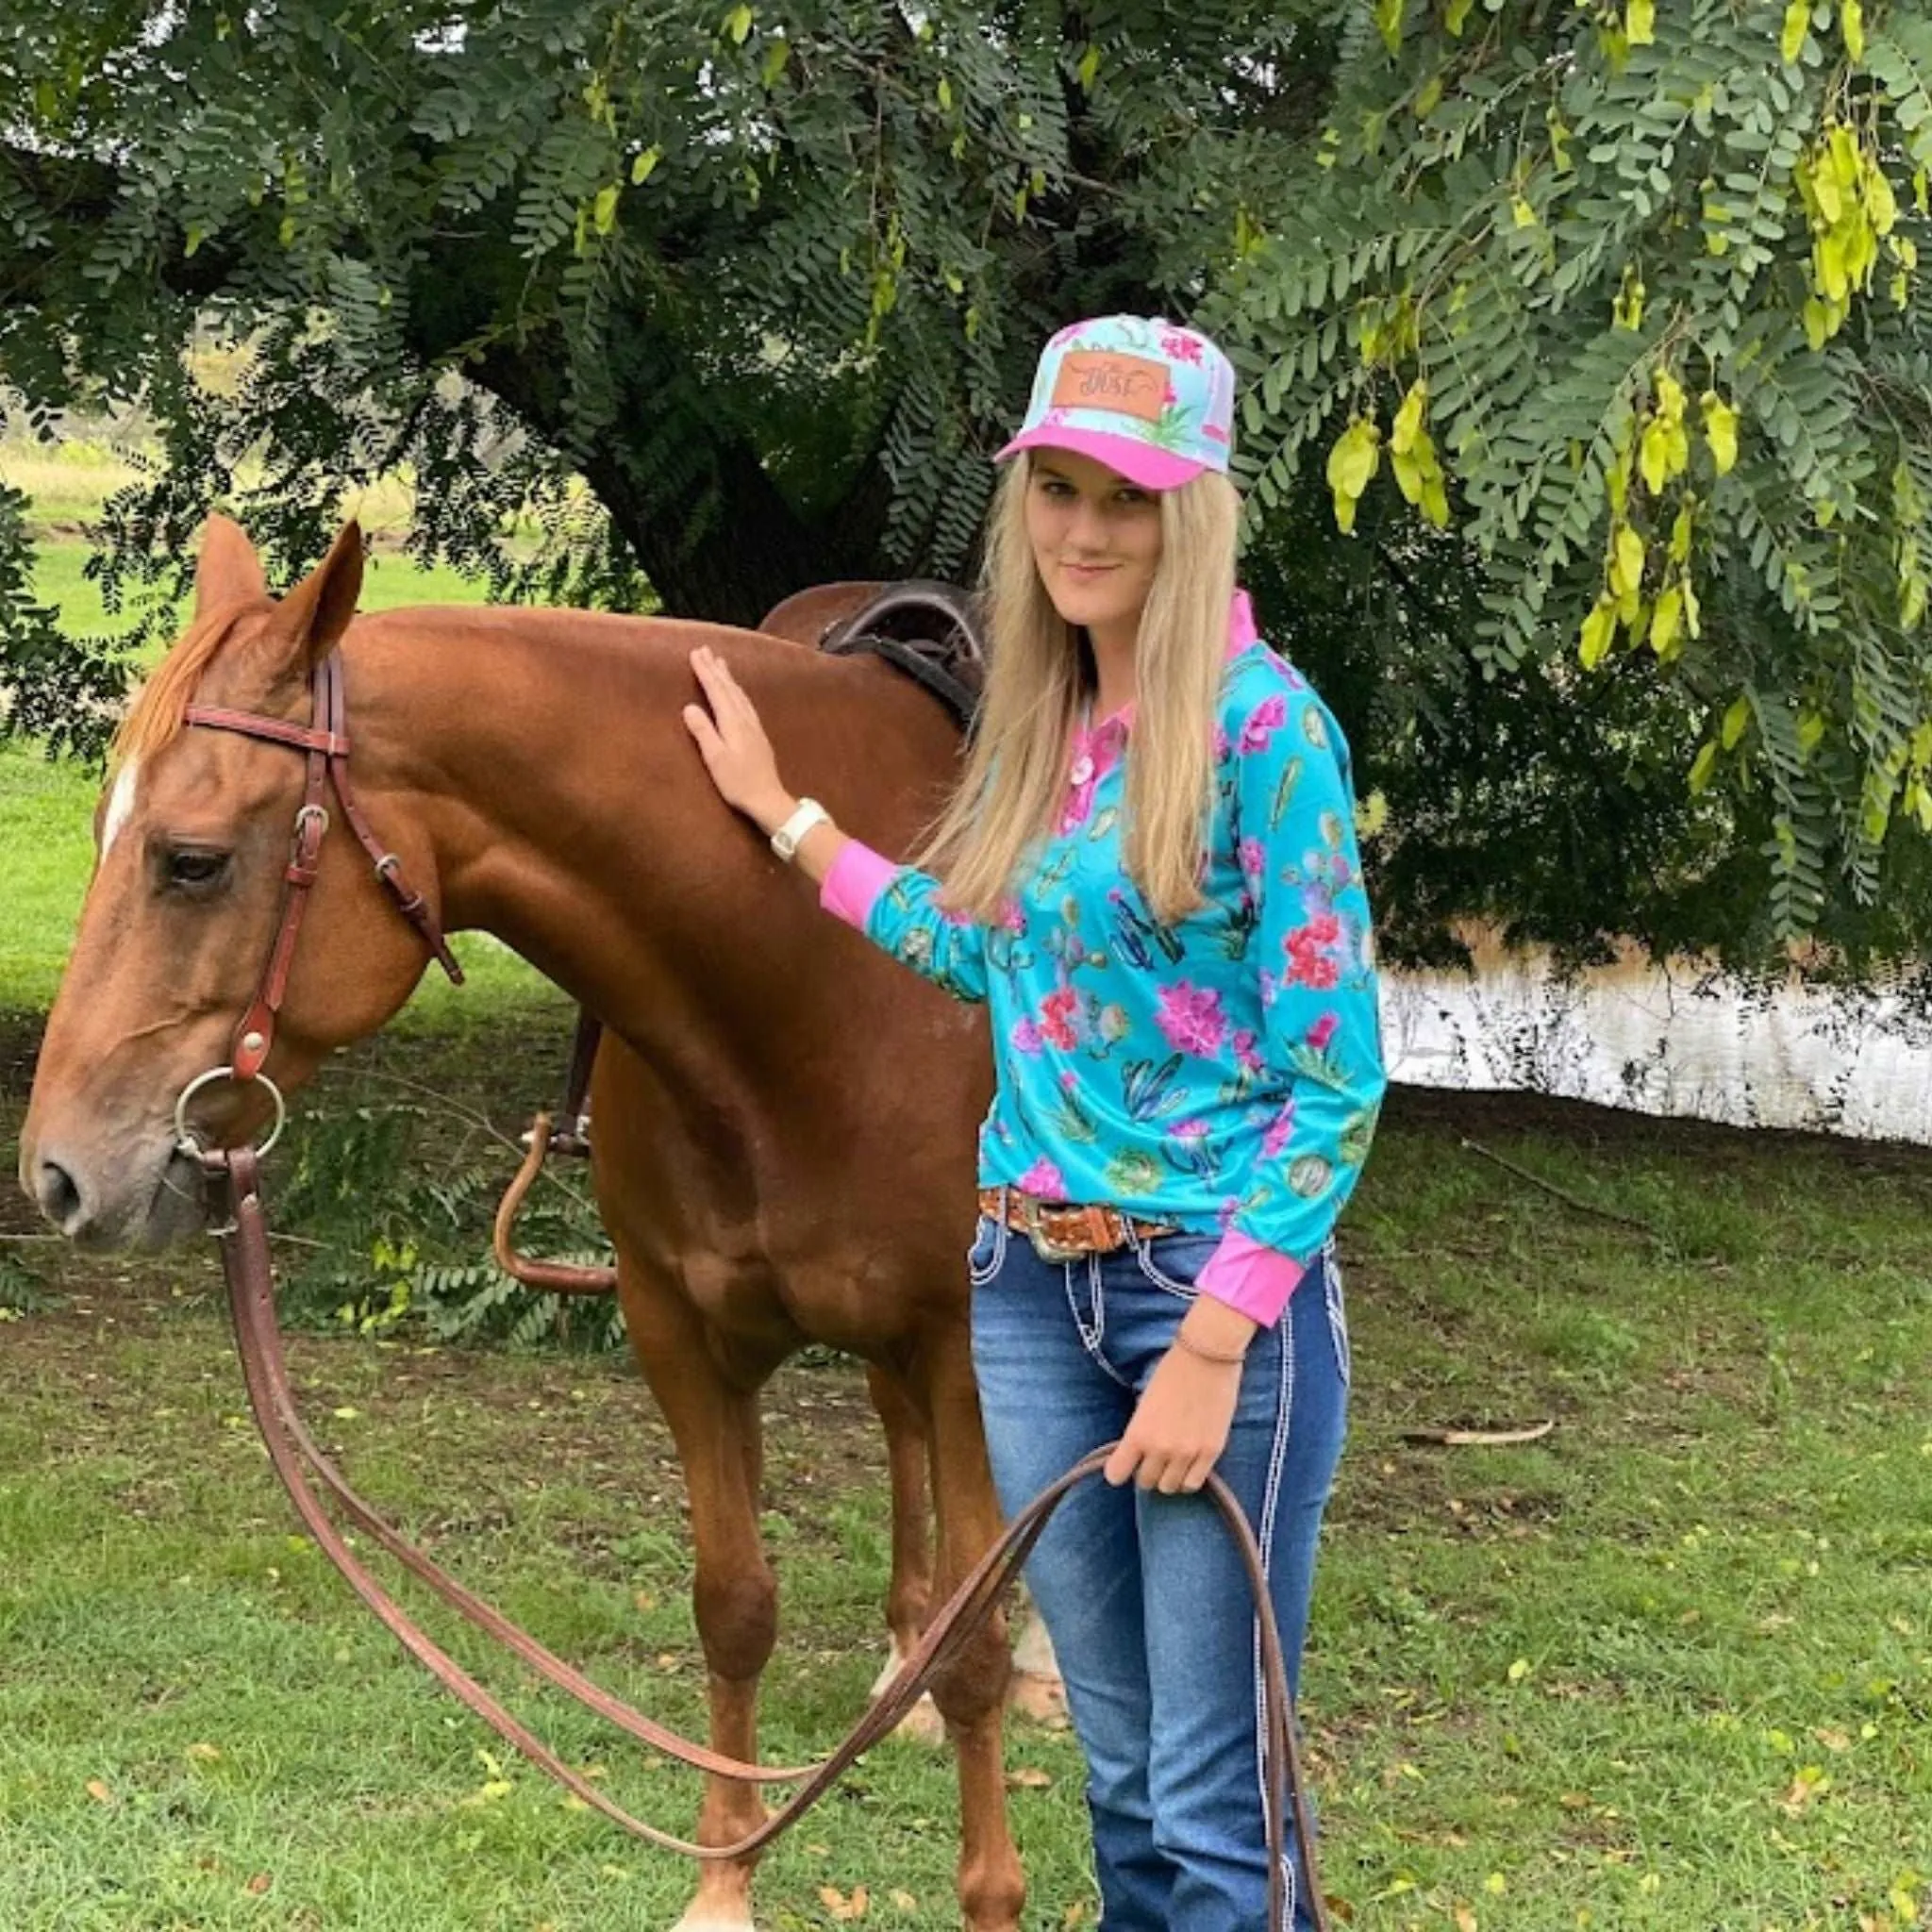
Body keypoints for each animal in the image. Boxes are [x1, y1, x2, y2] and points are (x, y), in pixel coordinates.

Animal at [15, 517, 1027, 1932]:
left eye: (192, 859)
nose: (57, 1172)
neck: (819, 979)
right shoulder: (679, 1332)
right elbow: (734, 1606)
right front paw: (723, 1886)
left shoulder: (968, 1353)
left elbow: (978, 1653)